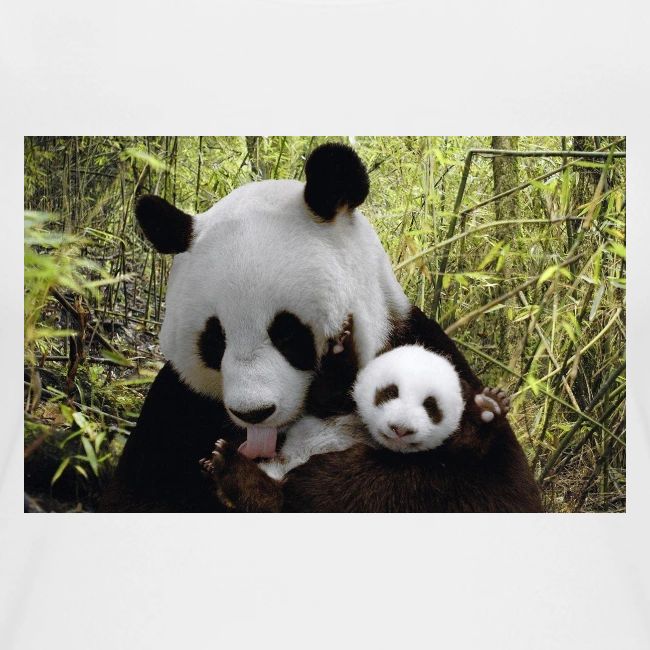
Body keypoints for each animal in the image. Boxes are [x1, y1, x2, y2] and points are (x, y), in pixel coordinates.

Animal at [100, 143, 538, 513]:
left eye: (287, 333)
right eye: (215, 340)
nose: (254, 413)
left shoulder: (422, 348)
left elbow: (490, 488)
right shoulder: (178, 405)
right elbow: (137, 493)